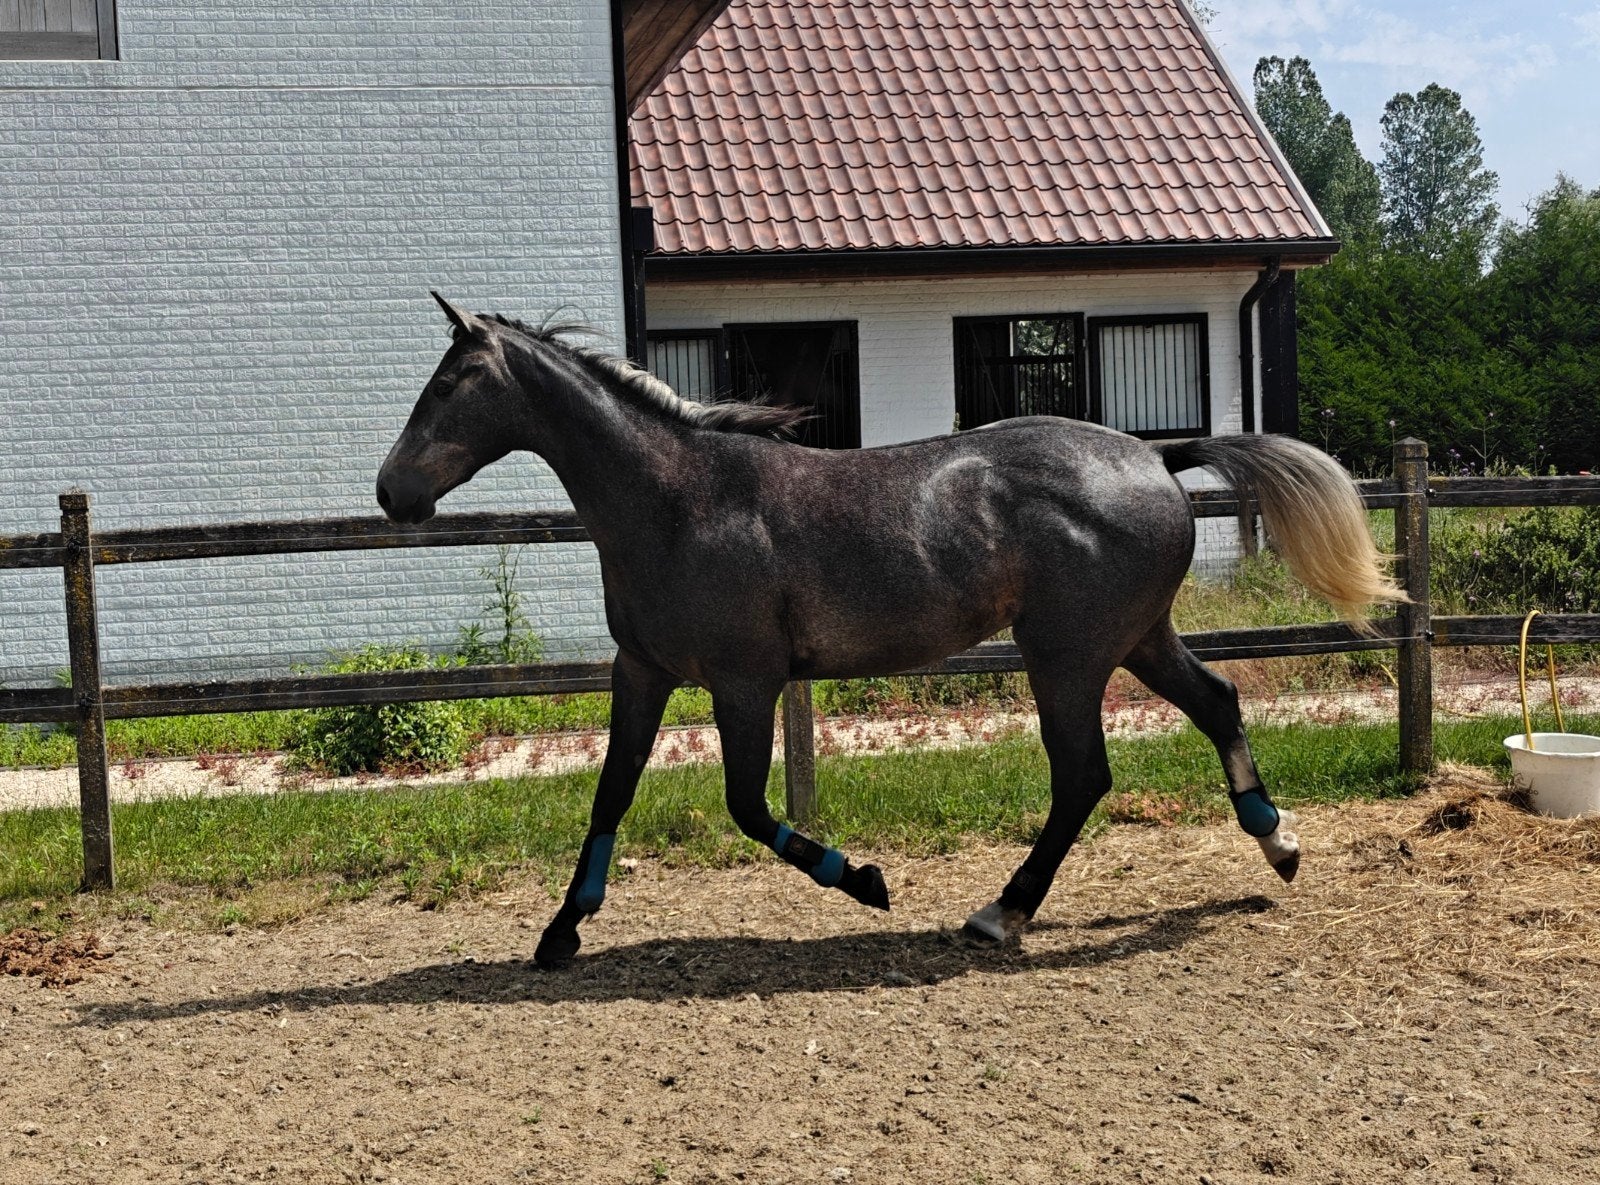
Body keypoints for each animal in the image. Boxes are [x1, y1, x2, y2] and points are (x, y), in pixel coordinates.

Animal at [377, 293, 1404, 968]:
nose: (391, 492)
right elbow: (611, 793)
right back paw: (1278, 843)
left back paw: (1000, 913)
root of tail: (1157, 455)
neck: (680, 498)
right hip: (1137, 637)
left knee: (1083, 775)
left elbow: (747, 807)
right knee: (1217, 701)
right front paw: (560, 931)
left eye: (450, 383)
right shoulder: (643, 670)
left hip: (1066, 656)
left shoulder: (745, 680)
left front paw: (866, 879)